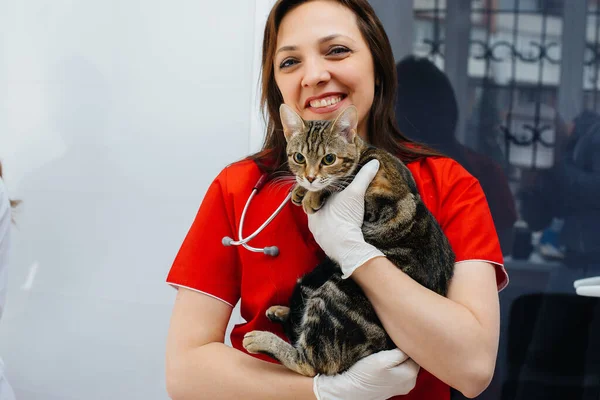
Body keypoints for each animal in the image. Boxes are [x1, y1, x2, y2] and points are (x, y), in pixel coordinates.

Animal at [240, 104, 454, 376]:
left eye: (329, 159)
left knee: (311, 363)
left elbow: (340, 183)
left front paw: (313, 194)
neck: (366, 153)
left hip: (335, 293)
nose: (309, 178)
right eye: (299, 157)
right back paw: (281, 312)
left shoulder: (384, 195)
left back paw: (263, 339)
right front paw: (300, 190)